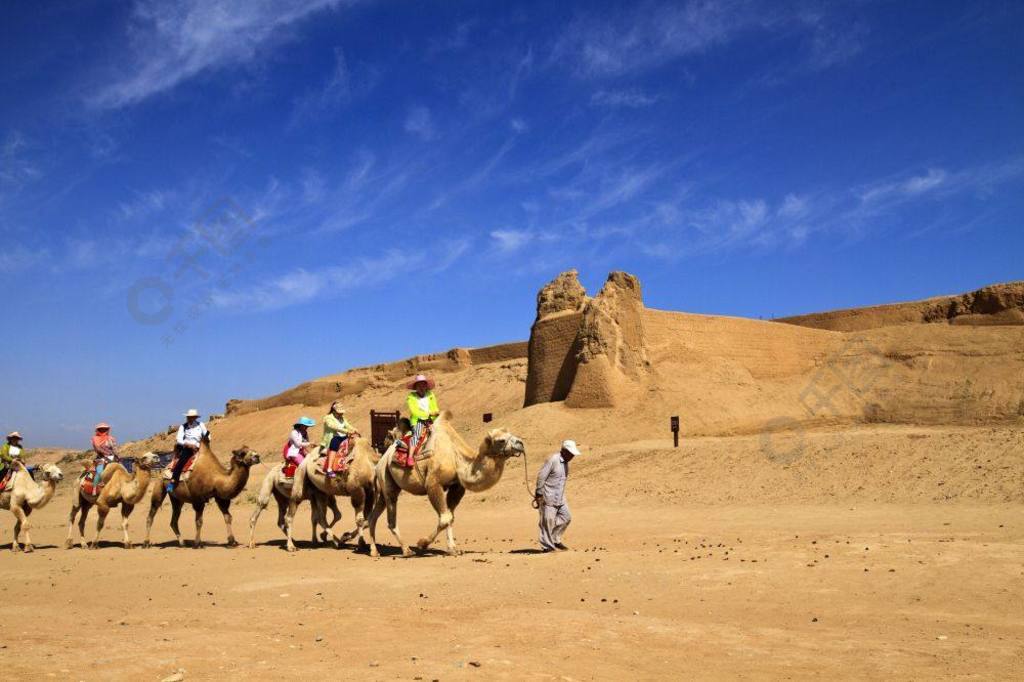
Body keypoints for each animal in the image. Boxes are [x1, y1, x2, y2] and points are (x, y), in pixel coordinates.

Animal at [370, 411, 528, 557]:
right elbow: (444, 518)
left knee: (373, 516)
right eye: (501, 440)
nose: (520, 443)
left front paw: (453, 549)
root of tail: (381, 460)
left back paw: (374, 551)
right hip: (387, 481)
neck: (456, 458)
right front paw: (422, 543)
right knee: (391, 519)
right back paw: (406, 550)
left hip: (384, 488)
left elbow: (450, 517)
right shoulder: (433, 484)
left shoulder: (457, 487)